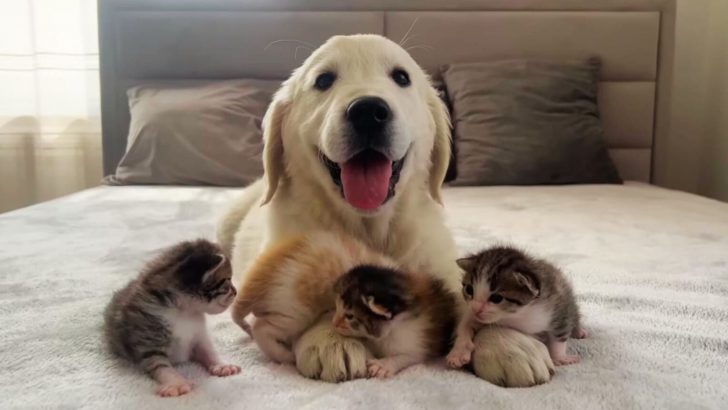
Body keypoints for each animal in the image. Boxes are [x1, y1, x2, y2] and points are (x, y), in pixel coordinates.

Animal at [104, 240, 240, 398]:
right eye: (227, 280)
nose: (236, 291)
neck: (183, 312)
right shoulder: (148, 340)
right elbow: (161, 366)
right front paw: (177, 383)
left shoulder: (199, 335)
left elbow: (208, 350)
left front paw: (222, 365)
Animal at [446, 247, 588, 368]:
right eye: (469, 290)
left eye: (496, 298)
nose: (476, 309)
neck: (513, 316)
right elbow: (465, 324)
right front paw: (458, 352)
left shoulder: (557, 305)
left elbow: (560, 333)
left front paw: (560, 358)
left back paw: (579, 331)